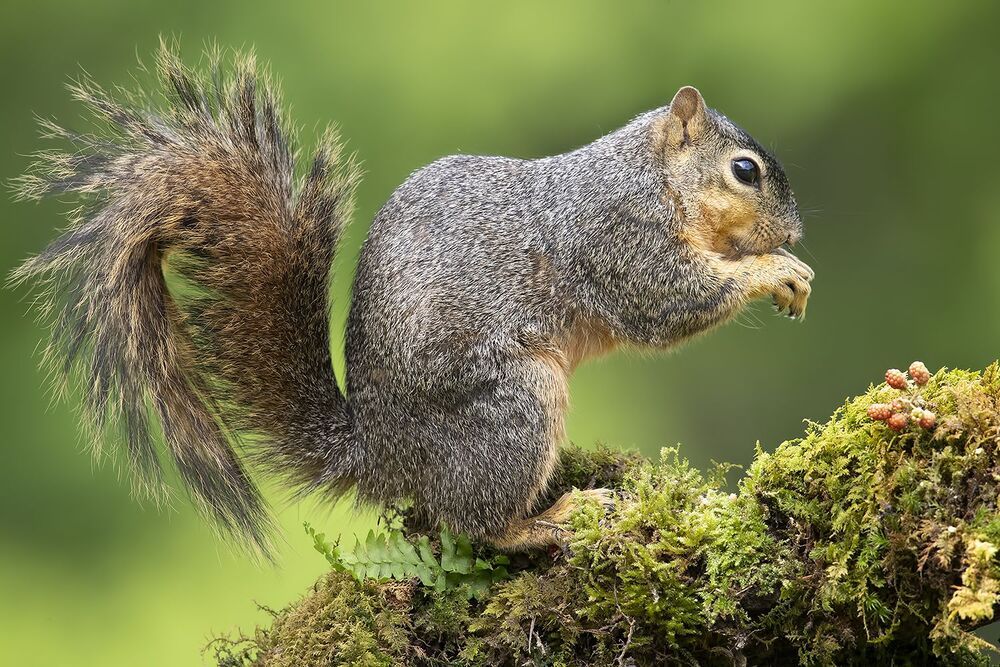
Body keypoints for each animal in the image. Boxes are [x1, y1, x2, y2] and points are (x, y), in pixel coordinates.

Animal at [12, 48, 813, 556]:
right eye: (745, 171)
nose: (796, 231)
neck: (652, 177)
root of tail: (382, 450)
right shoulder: (619, 237)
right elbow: (667, 301)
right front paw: (775, 269)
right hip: (512, 406)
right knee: (474, 524)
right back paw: (551, 516)